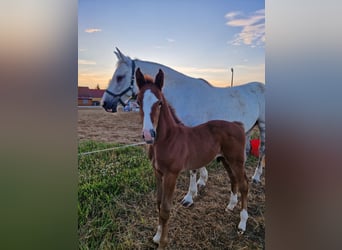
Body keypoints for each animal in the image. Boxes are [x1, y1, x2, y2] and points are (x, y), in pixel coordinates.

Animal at [136, 67, 248, 249]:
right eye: (138, 102)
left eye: (159, 102)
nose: (148, 135)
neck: (168, 139)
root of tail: (237, 125)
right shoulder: (158, 173)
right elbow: (158, 203)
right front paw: (157, 236)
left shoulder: (171, 175)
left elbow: (165, 209)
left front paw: (162, 243)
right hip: (226, 160)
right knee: (233, 179)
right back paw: (230, 206)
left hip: (237, 160)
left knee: (244, 184)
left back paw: (242, 224)